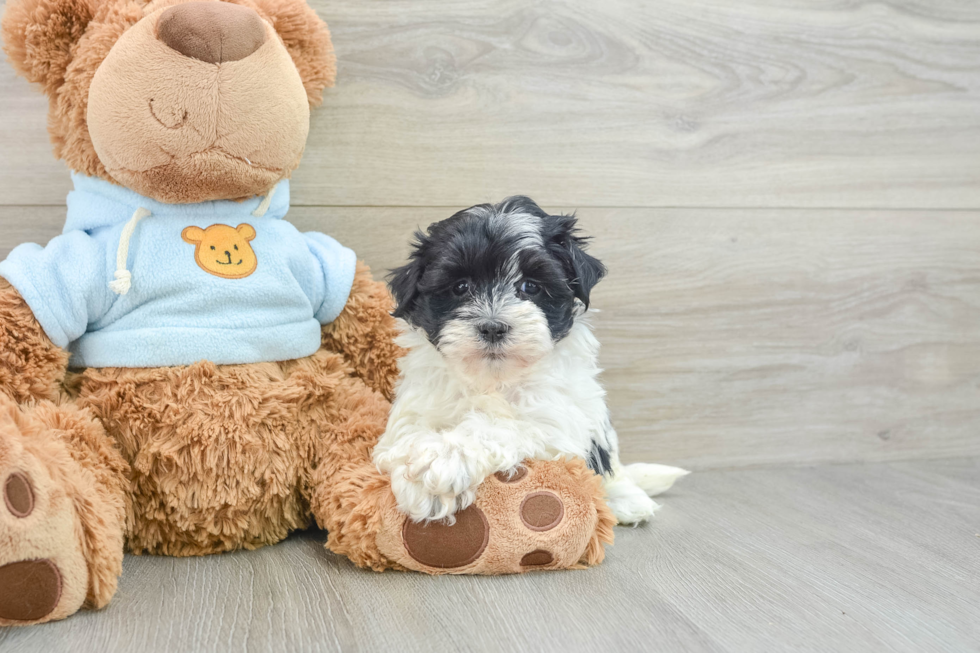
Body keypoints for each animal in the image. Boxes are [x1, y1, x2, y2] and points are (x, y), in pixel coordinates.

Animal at [376, 196, 688, 524]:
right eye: (460, 287)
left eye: (531, 286)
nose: (493, 327)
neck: (494, 379)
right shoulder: (417, 407)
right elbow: (406, 434)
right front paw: (424, 482)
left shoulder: (557, 425)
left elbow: (501, 426)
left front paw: (445, 458)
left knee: (612, 467)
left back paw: (626, 500)